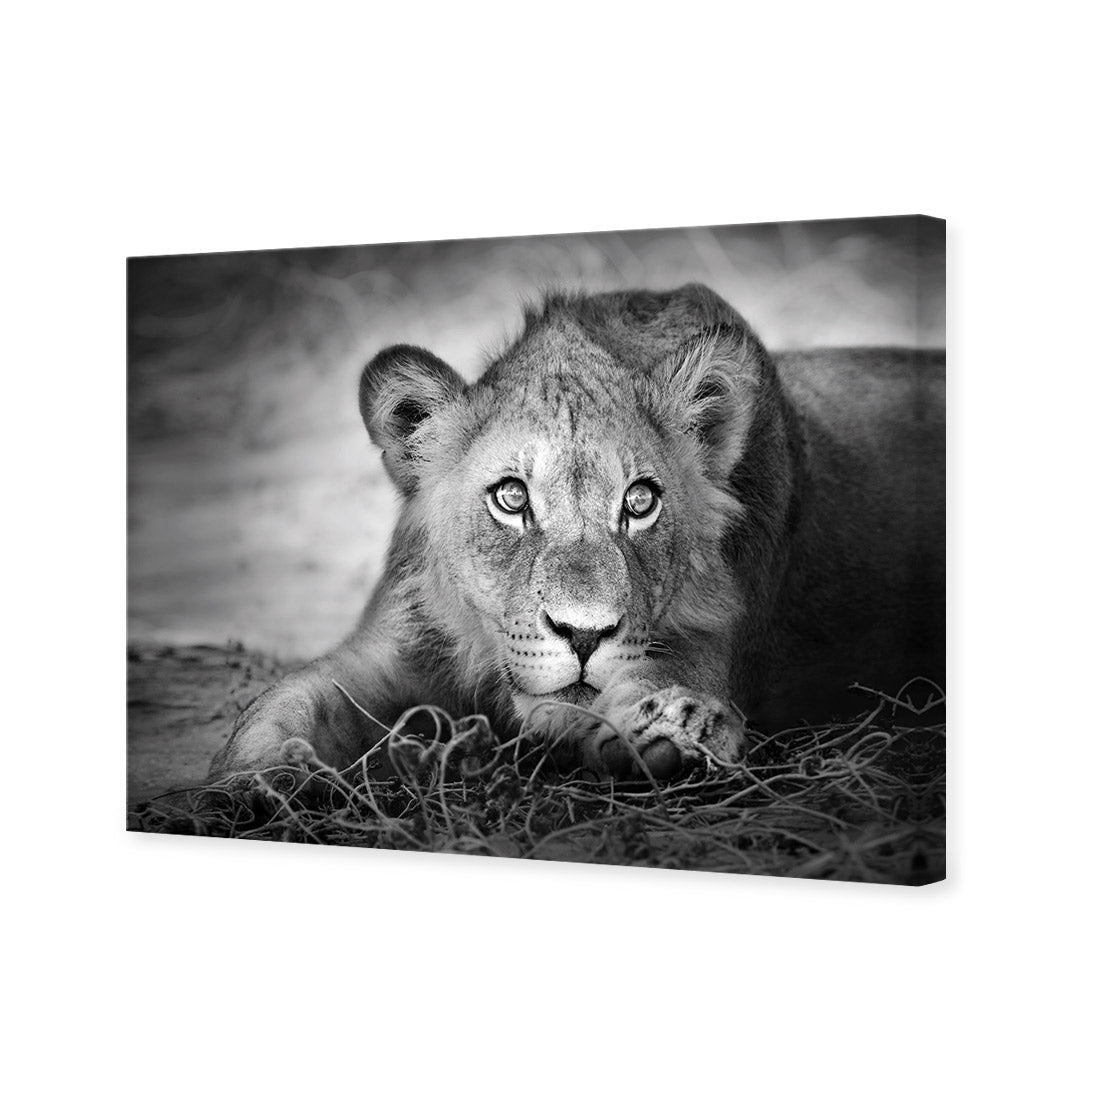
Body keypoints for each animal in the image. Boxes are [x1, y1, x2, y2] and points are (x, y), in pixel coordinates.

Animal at [209, 283, 945, 783]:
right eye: (511, 498)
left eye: (640, 501)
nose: (584, 635)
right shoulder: (389, 648)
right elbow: (286, 703)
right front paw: (255, 783)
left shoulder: (709, 642)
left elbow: (658, 680)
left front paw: (675, 729)